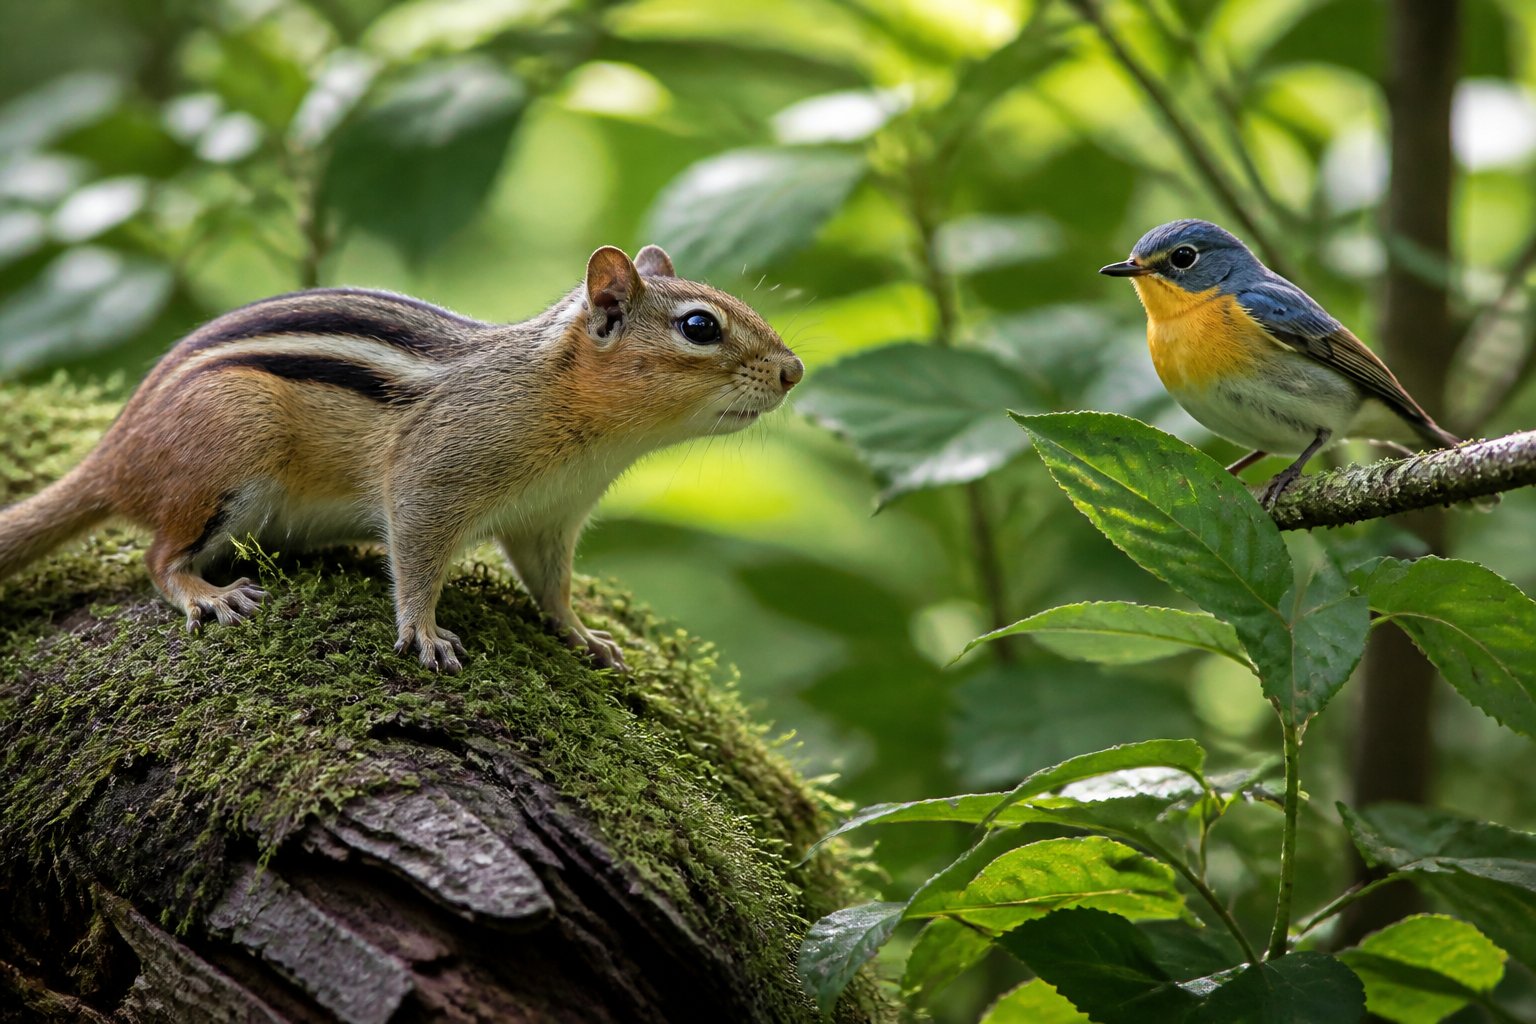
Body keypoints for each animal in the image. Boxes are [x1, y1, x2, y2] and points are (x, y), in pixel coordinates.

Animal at [0, 244, 803, 674]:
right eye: (699, 326)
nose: (795, 371)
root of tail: (116, 449)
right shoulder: (435, 473)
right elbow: (416, 552)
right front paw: (421, 629)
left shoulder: (548, 519)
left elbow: (552, 585)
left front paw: (579, 632)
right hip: (229, 444)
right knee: (158, 557)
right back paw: (204, 593)